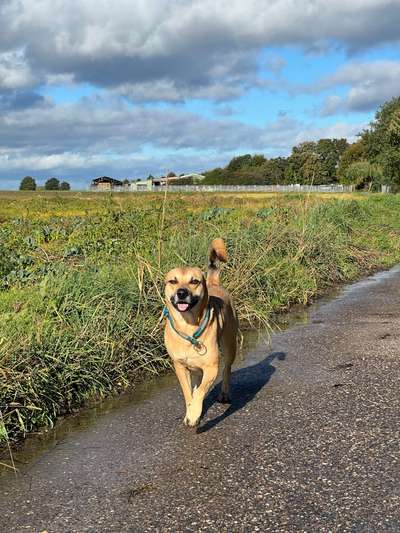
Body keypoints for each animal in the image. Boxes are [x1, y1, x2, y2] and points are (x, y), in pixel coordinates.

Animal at [164, 239, 239, 426]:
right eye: (173, 281)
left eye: (194, 281)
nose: (181, 292)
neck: (188, 326)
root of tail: (213, 283)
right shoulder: (180, 367)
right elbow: (189, 393)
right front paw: (191, 411)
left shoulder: (211, 367)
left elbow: (199, 392)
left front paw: (193, 414)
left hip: (229, 345)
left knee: (227, 369)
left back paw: (224, 394)